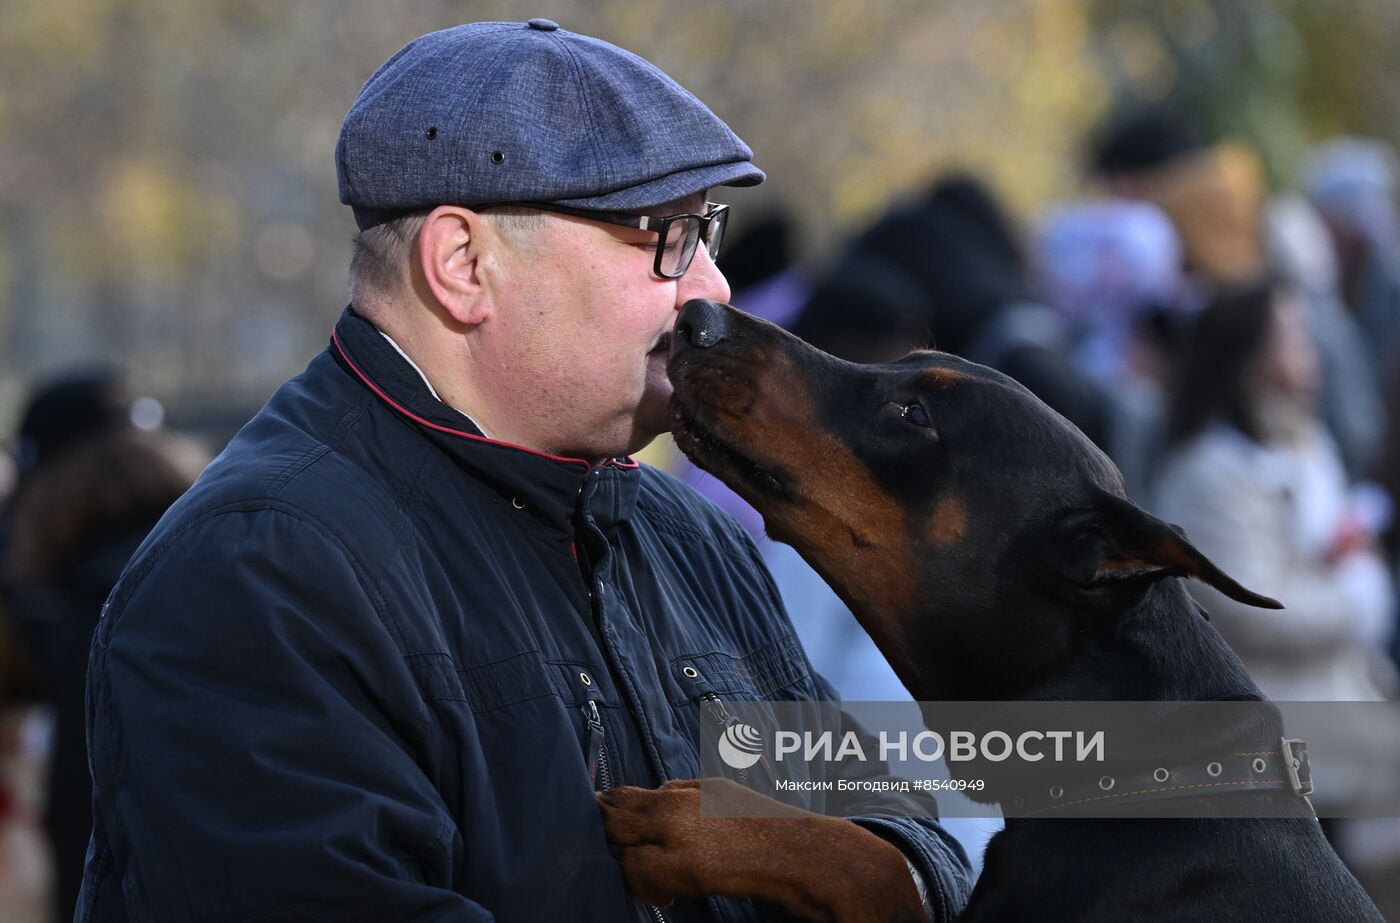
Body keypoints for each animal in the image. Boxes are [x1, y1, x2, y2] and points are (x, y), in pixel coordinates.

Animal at [599, 301, 1377, 923]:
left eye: (916, 415)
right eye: (900, 363)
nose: (698, 316)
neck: (1145, 775)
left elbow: (869, 858)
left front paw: (697, 825)